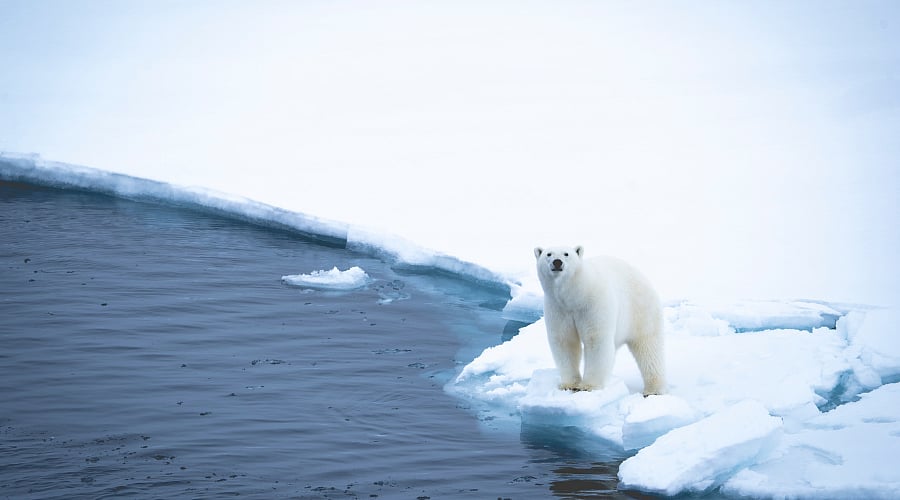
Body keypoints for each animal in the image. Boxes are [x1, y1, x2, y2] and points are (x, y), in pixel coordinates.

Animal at [534, 245, 666, 395]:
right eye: (548, 254)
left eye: (566, 254)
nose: (557, 262)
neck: (575, 295)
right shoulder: (558, 309)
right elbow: (565, 341)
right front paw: (568, 384)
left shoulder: (593, 304)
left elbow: (595, 339)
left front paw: (588, 386)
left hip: (641, 310)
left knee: (648, 347)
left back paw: (654, 389)